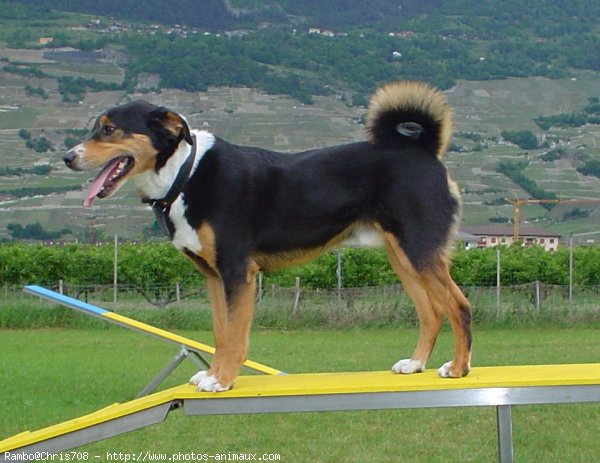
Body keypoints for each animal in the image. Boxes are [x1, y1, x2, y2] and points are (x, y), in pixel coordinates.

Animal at [64, 82, 474, 392]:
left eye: (109, 129)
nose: (68, 157)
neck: (185, 174)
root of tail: (422, 150)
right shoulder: (213, 275)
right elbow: (220, 332)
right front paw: (212, 373)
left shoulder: (236, 271)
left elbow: (235, 335)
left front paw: (223, 380)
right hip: (403, 256)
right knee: (431, 313)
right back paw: (415, 364)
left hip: (420, 251)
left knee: (459, 307)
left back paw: (458, 368)